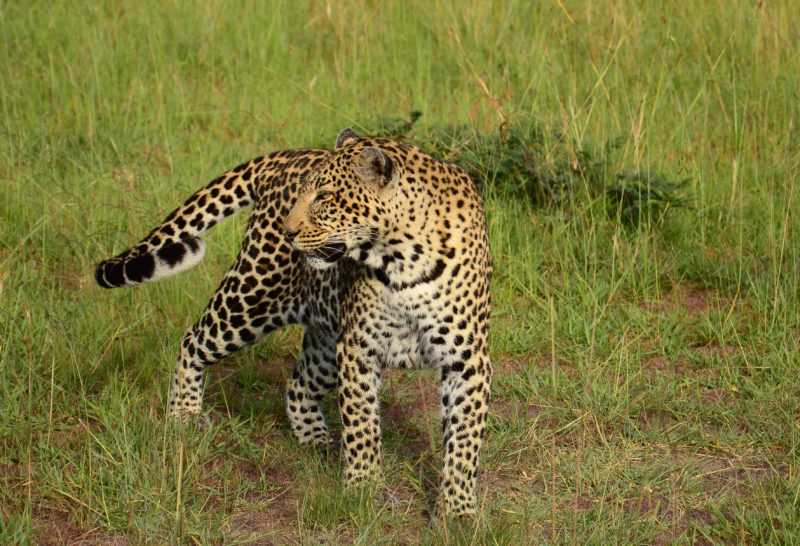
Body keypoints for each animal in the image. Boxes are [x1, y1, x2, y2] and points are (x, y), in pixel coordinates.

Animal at [95, 129, 494, 516]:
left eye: (325, 197)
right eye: (307, 193)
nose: (287, 231)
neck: (403, 256)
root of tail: (284, 156)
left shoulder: (468, 359)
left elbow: (464, 439)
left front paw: (458, 511)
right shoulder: (358, 347)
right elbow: (361, 424)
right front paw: (365, 490)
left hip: (324, 339)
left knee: (297, 384)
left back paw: (315, 440)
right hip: (253, 297)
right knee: (192, 339)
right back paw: (185, 416)